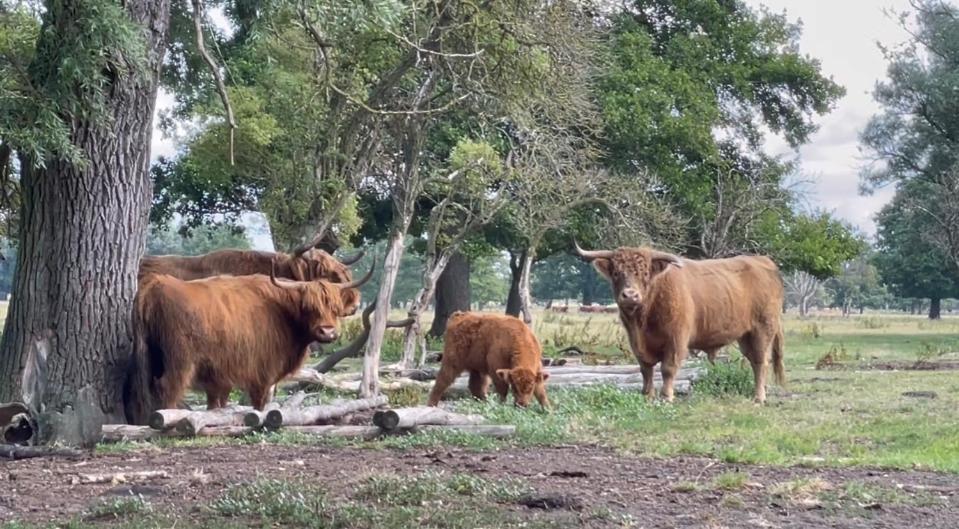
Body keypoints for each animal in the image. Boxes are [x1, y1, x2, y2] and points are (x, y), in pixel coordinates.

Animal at [121, 260, 376, 424]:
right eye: (309, 306)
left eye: (334, 307)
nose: (327, 332)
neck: (282, 311)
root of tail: (154, 283)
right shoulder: (262, 372)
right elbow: (259, 402)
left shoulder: (218, 374)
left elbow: (217, 403)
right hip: (180, 361)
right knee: (168, 387)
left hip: (149, 356)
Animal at [572, 241, 784, 402]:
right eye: (616, 273)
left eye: (645, 274)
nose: (630, 295)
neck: (642, 321)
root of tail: (763, 260)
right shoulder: (636, 343)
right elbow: (645, 369)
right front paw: (647, 395)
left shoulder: (676, 339)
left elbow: (667, 368)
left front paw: (666, 397)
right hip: (745, 336)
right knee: (753, 360)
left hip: (763, 329)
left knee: (761, 361)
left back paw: (759, 397)